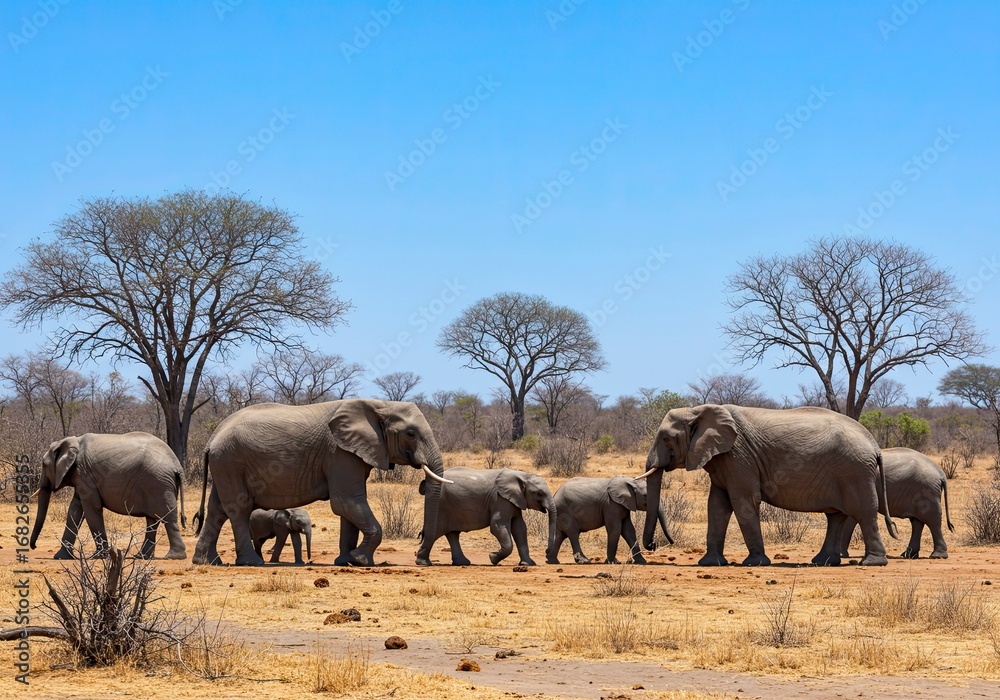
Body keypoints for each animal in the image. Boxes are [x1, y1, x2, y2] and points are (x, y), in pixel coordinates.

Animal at [30, 432, 187, 560]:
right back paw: (142, 557)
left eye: (43, 464)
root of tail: (176, 466)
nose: (34, 547)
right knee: (152, 520)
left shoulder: (84, 474)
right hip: (157, 484)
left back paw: (173, 557)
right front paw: (61, 557)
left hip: (158, 484)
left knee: (168, 518)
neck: (72, 442)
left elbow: (92, 508)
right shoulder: (82, 476)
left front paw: (98, 556)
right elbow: (75, 510)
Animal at [192, 398, 449, 567]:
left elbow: (349, 508)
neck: (379, 403)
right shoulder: (340, 453)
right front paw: (361, 560)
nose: (422, 561)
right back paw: (251, 563)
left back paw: (208, 562)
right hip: (230, 460)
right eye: (410, 434)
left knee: (217, 509)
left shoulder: (352, 453)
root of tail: (211, 439)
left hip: (224, 464)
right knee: (239, 508)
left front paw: (345, 561)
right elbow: (346, 502)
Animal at [417, 466, 557, 566]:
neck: (522, 475)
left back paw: (462, 563)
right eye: (539, 493)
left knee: (453, 534)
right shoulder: (500, 499)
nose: (547, 553)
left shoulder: (514, 501)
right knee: (435, 532)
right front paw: (492, 558)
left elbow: (520, 528)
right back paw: (423, 563)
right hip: (440, 505)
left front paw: (528, 564)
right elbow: (497, 526)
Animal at [639, 404, 896, 567]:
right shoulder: (723, 460)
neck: (697, 410)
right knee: (836, 516)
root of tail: (874, 445)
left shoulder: (737, 456)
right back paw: (823, 562)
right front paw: (710, 563)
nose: (653, 546)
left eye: (666, 438)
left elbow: (742, 501)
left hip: (854, 472)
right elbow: (717, 506)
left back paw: (872, 563)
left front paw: (755, 563)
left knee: (863, 513)